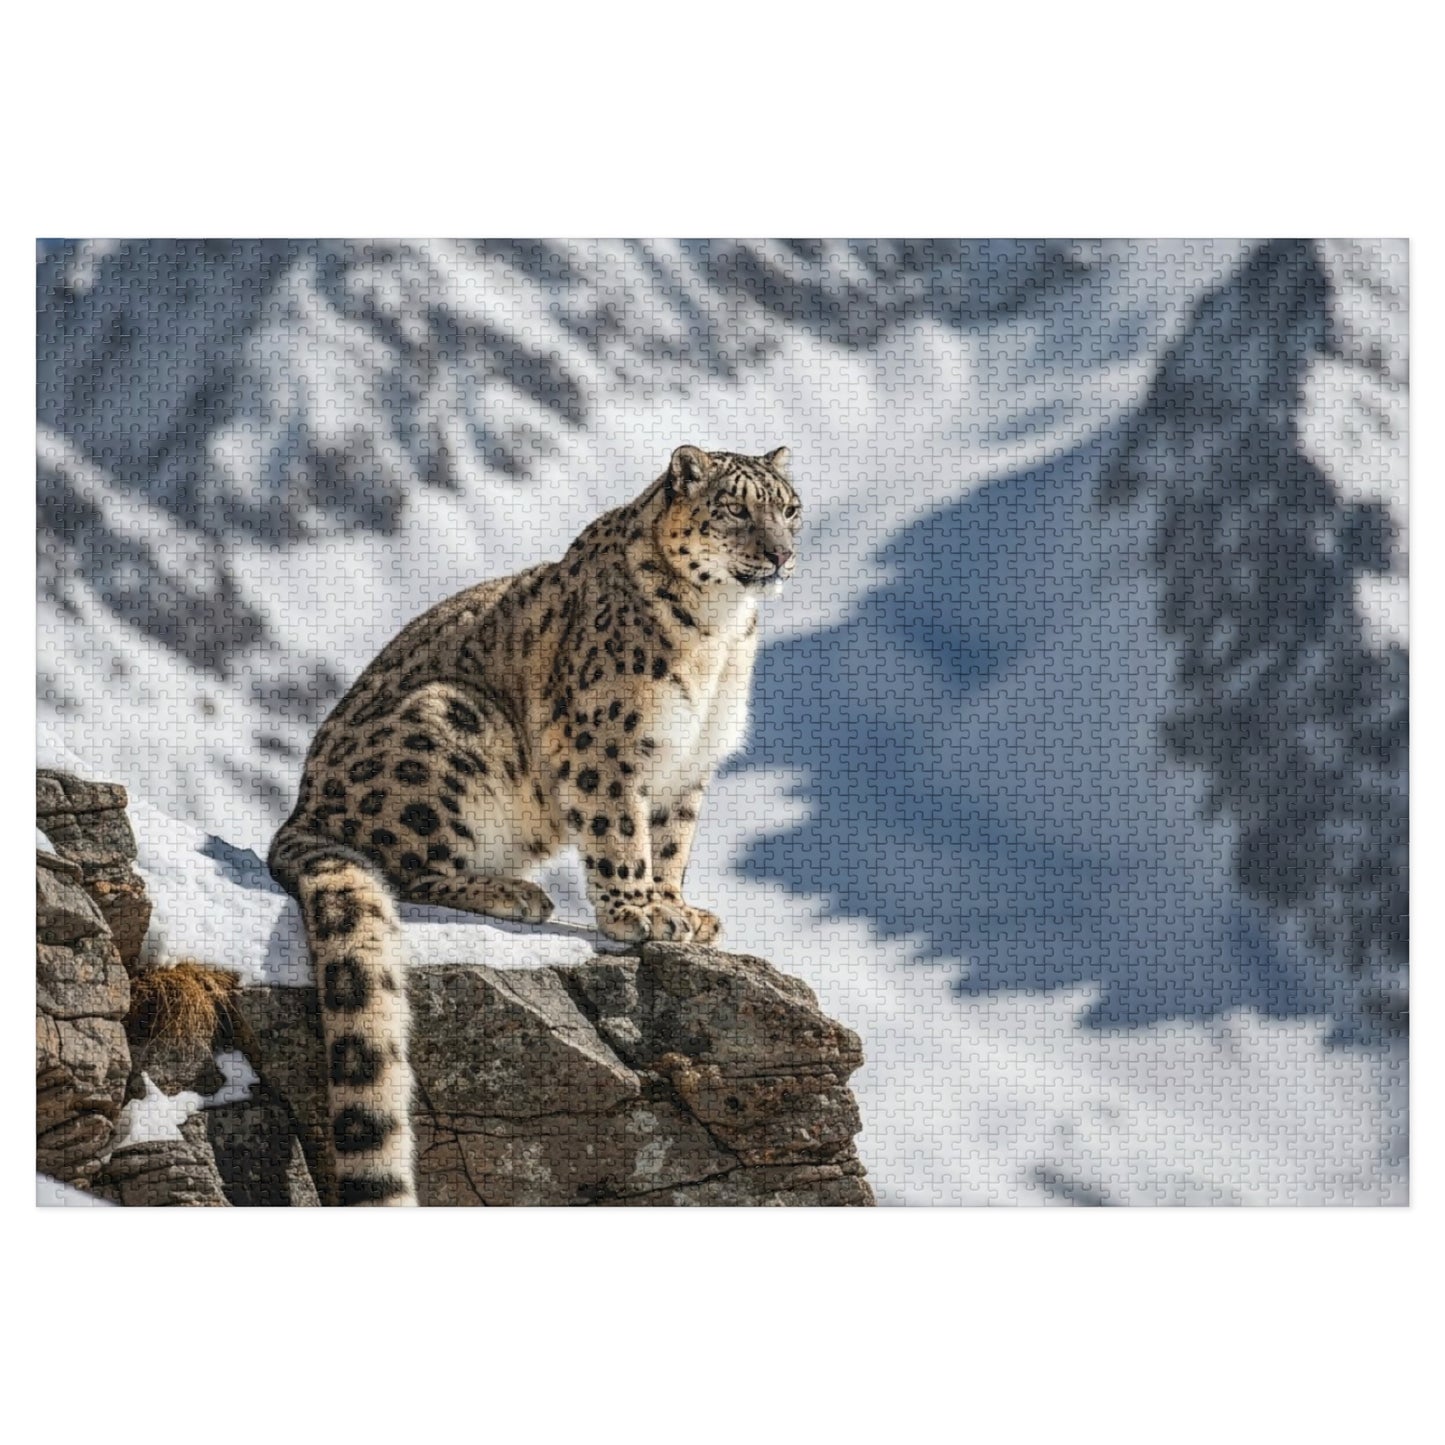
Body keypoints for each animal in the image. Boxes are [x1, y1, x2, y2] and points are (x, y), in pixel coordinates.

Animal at [267, 445, 801, 1204]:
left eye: (789, 508)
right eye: (734, 509)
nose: (781, 554)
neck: (722, 635)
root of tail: (299, 808)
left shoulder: (686, 767)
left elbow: (670, 843)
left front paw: (678, 909)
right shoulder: (603, 744)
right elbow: (619, 831)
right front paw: (635, 913)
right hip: (449, 726)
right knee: (402, 865)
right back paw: (511, 891)